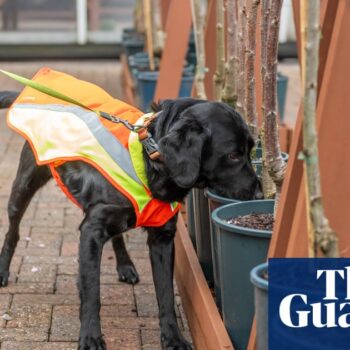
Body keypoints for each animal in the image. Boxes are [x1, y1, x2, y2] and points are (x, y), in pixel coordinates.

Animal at [0, 93, 260, 350]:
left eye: (250, 151)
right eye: (233, 155)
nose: (260, 195)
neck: (149, 160)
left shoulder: (163, 238)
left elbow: (166, 294)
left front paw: (173, 338)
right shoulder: (91, 231)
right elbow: (92, 292)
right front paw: (90, 338)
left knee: (117, 235)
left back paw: (125, 265)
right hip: (23, 187)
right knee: (13, 231)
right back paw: (3, 271)